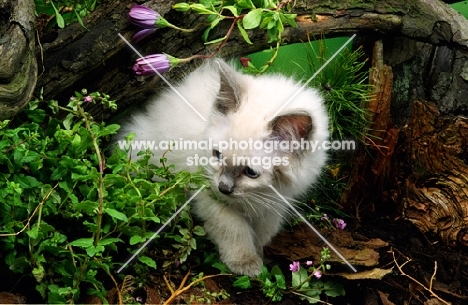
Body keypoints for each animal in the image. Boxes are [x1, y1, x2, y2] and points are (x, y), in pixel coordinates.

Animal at [119, 59, 328, 276]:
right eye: (217, 155)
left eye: (250, 172)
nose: (224, 188)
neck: (256, 197)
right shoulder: (209, 195)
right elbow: (234, 228)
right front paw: (246, 262)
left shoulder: (275, 202)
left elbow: (265, 232)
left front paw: (264, 255)